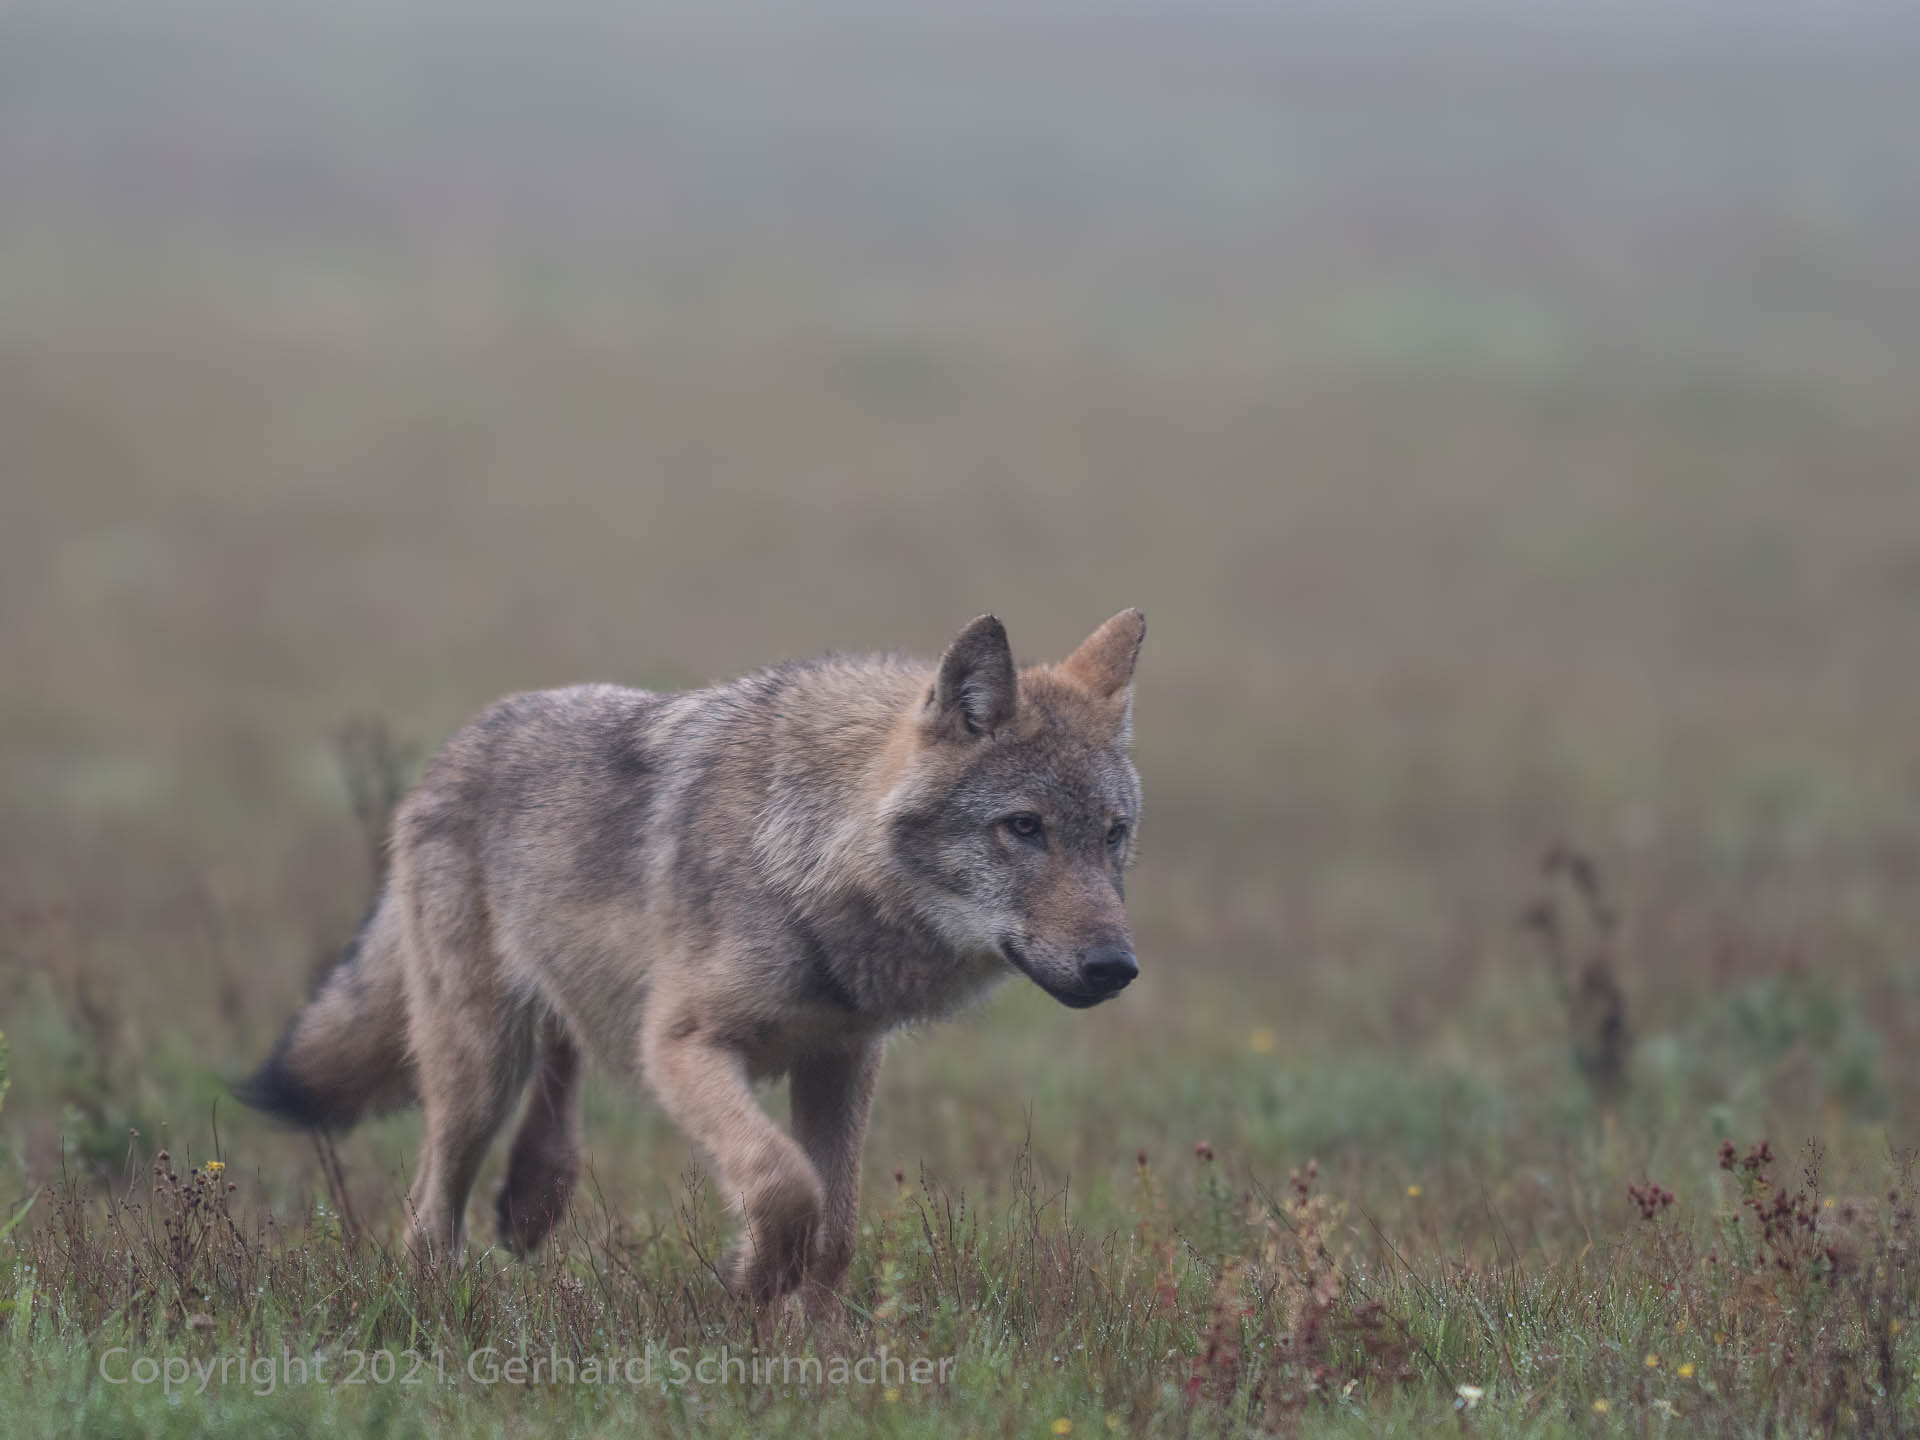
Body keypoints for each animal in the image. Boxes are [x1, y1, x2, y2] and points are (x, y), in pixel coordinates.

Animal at [236, 614, 1136, 1313]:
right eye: (1024, 828)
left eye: (1114, 834)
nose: (1116, 967)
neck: (808, 851)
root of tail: (454, 745)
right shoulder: (681, 1044)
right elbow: (784, 1185)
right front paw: (751, 1282)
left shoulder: (840, 1059)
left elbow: (837, 1228)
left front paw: (817, 1362)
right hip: (479, 1071)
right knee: (429, 1213)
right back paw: (438, 1310)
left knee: (558, 1071)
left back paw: (532, 1199)